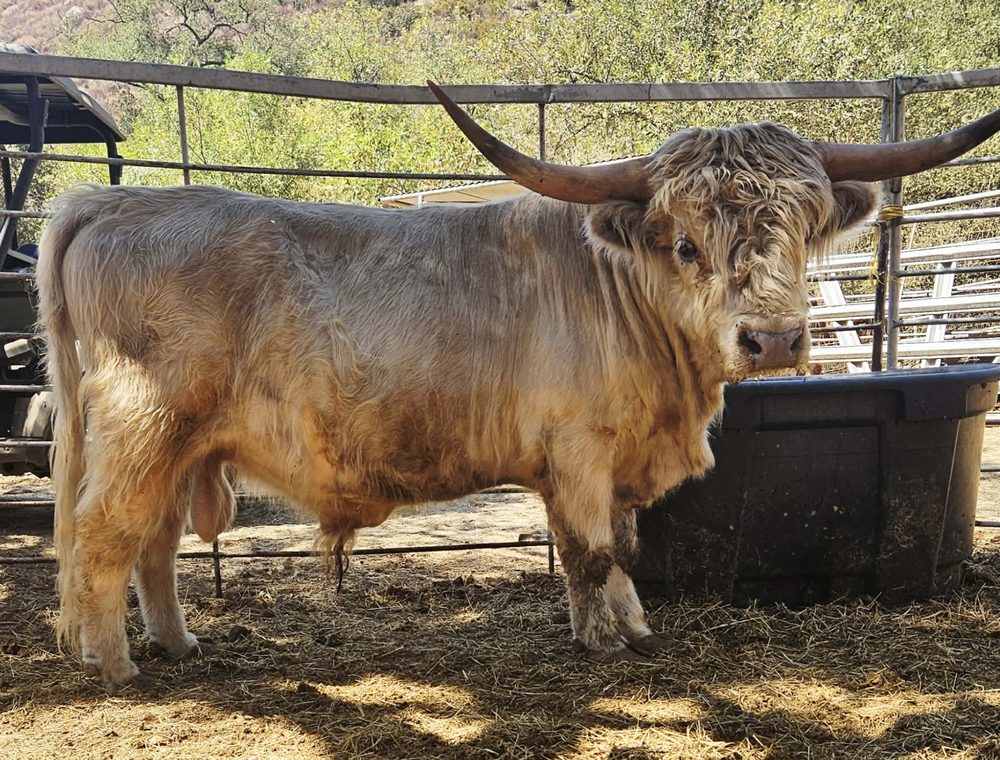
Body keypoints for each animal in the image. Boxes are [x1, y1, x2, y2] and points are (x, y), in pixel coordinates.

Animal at [37, 82, 1000, 688]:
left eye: (800, 232)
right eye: (687, 244)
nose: (773, 339)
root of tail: (110, 202)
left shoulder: (610, 466)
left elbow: (622, 549)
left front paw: (630, 625)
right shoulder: (577, 452)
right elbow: (591, 552)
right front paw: (605, 644)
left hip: (180, 446)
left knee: (154, 545)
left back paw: (179, 644)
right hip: (141, 427)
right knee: (102, 537)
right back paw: (113, 663)